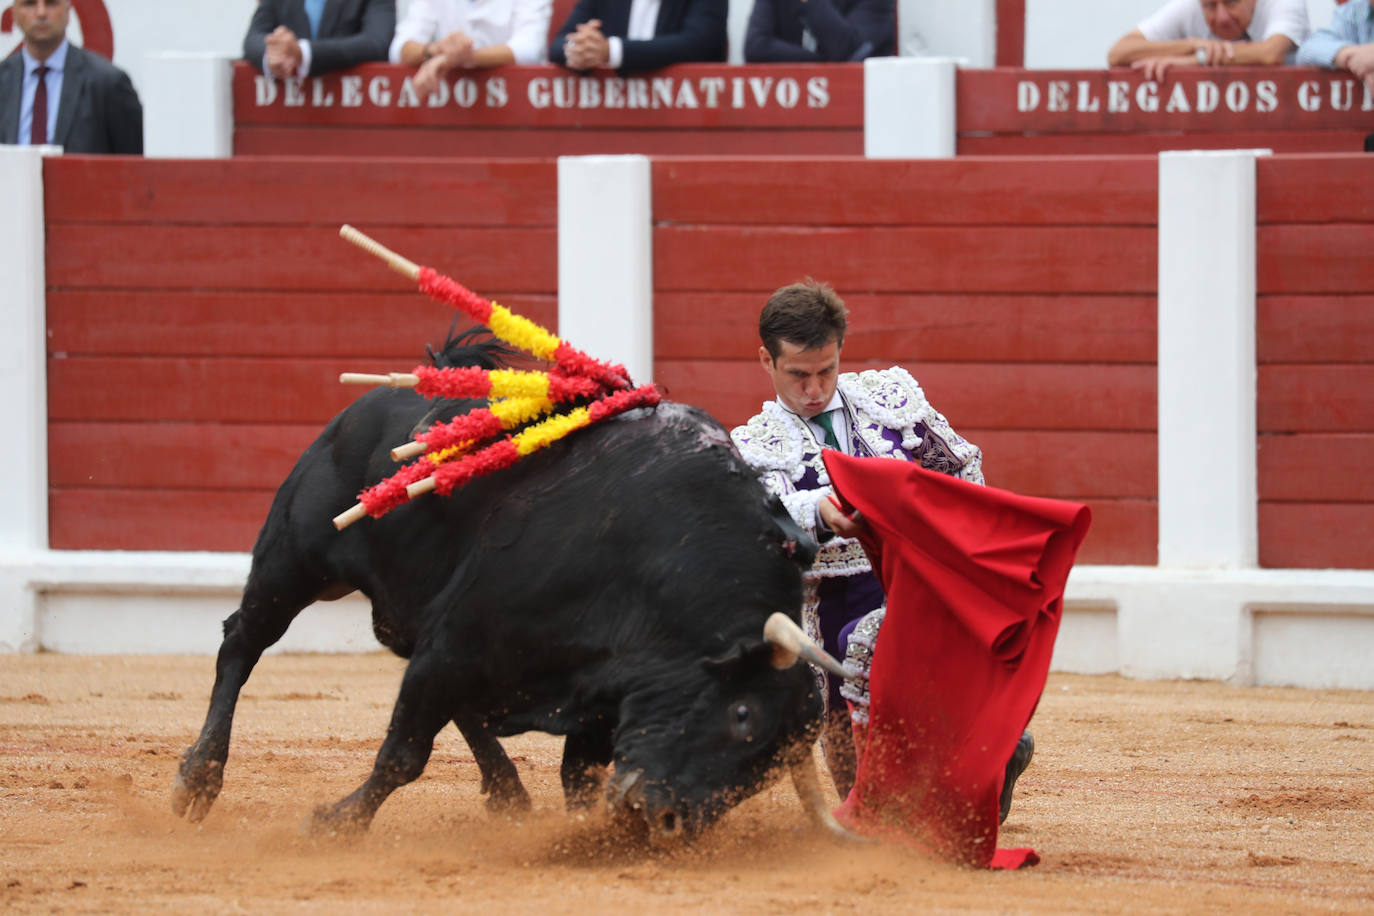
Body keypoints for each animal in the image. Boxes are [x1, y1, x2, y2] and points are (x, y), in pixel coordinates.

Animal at [170, 336, 835, 840]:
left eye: (766, 770)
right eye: (743, 714)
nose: (665, 821)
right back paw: (197, 779)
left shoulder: (598, 695)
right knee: (241, 642)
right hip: (297, 560)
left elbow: (577, 779)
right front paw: (335, 823)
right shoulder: (456, 640)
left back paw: (508, 793)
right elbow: (404, 755)